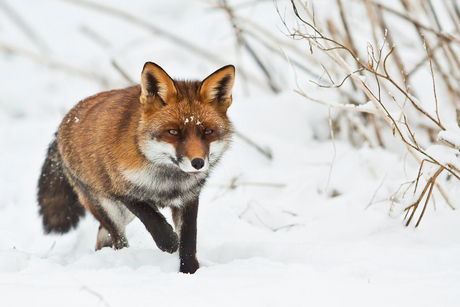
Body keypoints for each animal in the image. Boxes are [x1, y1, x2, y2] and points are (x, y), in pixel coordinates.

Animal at [37, 62, 235, 274]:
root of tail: (64, 122)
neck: (167, 180)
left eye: (208, 132)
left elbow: (189, 241)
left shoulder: (189, 197)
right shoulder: (122, 188)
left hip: (123, 215)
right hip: (109, 208)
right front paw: (168, 242)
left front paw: (190, 271)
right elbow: (154, 221)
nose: (198, 163)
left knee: (102, 235)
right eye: (173, 132)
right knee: (117, 238)